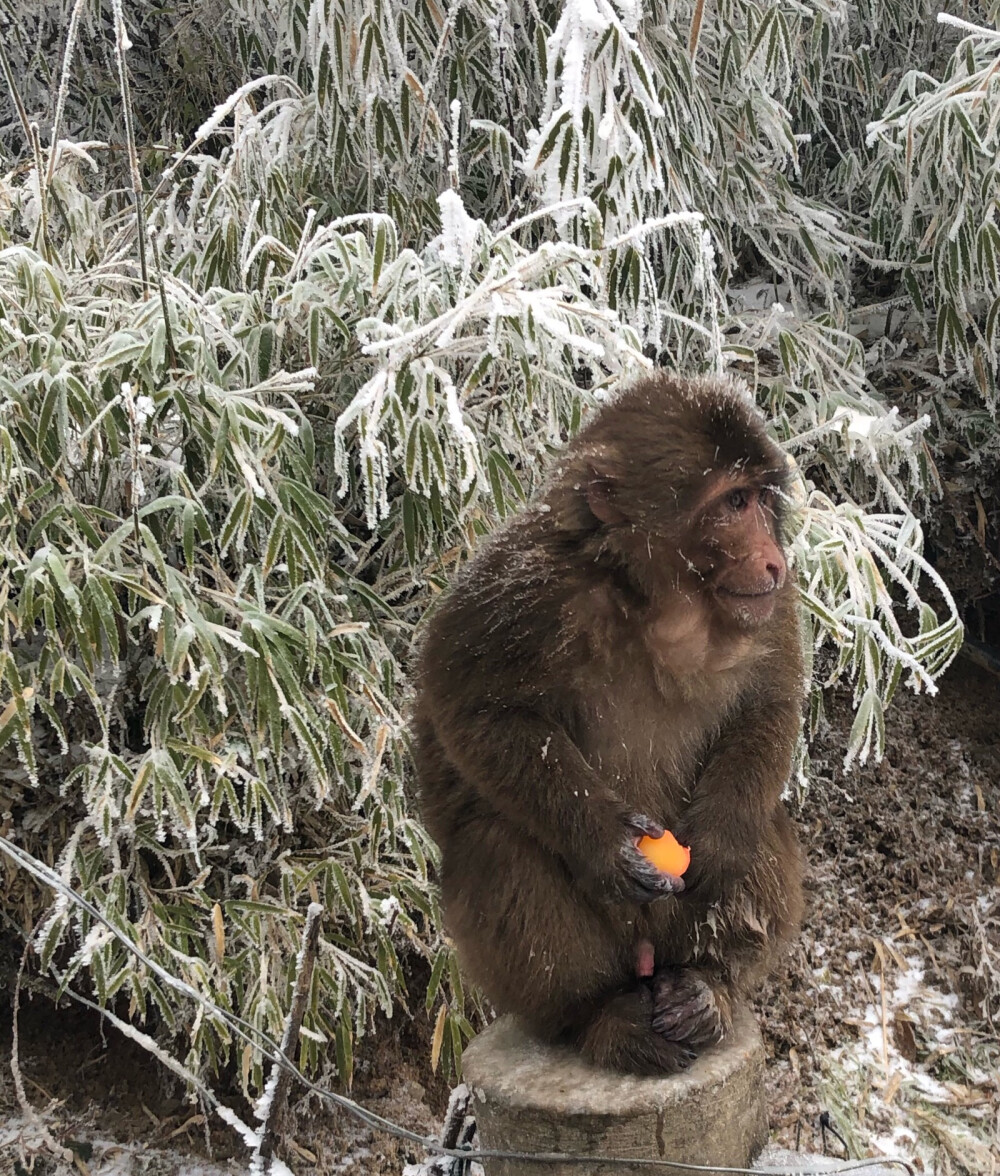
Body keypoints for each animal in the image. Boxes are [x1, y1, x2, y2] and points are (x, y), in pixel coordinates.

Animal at [409, 369, 804, 1077]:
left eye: (761, 499)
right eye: (733, 502)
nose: (772, 559)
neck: (668, 607)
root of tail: (647, 960)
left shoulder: (770, 606)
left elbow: (770, 705)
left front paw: (722, 839)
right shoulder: (520, 585)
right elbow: (473, 709)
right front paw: (609, 844)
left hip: (672, 932)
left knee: (762, 824)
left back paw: (707, 986)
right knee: (497, 841)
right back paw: (600, 1017)